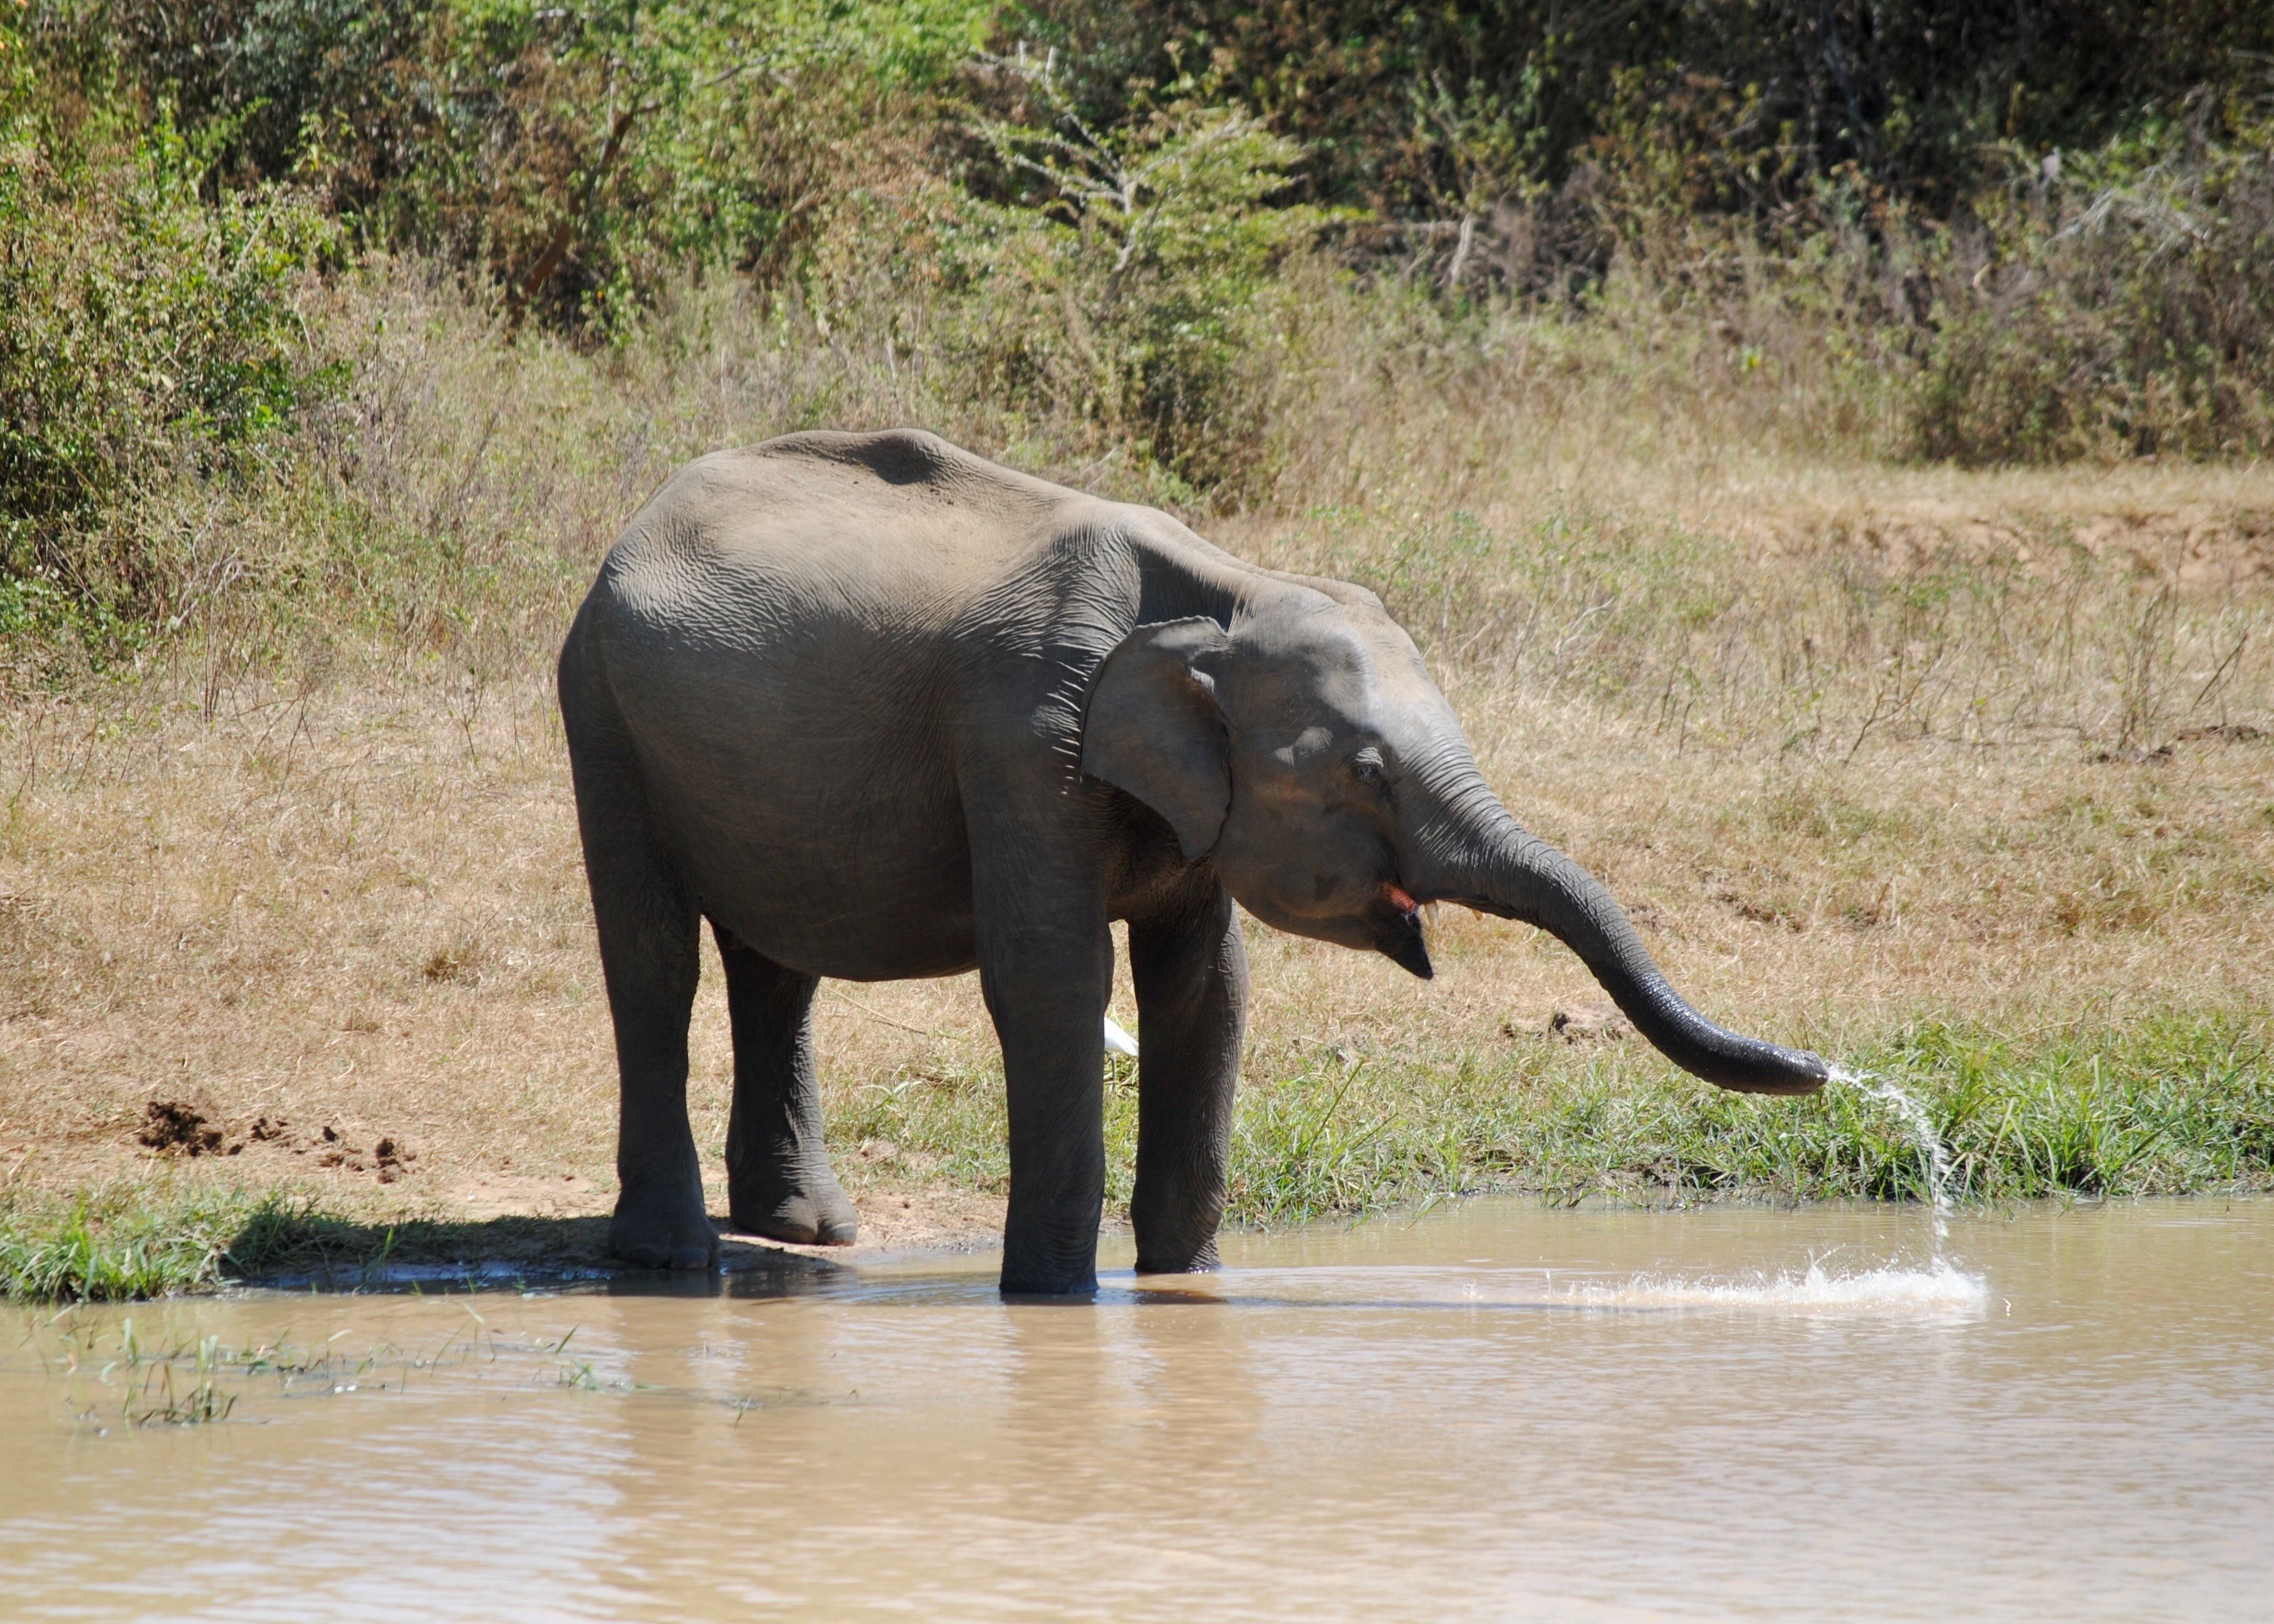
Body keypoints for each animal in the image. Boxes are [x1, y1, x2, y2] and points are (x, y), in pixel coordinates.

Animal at [558, 429, 1827, 1295]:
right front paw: (1054, 1302)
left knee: (780, 967)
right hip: (601, 709)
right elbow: (1053, 976)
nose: (1824, 1072)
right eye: (1367, 773)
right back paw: (672, 1256)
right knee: (655, 957)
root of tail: (643, 516)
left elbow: (1206, 988)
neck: (1225, 592)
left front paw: (1186, 1290)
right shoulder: (1021, 740)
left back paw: (809, 1232)